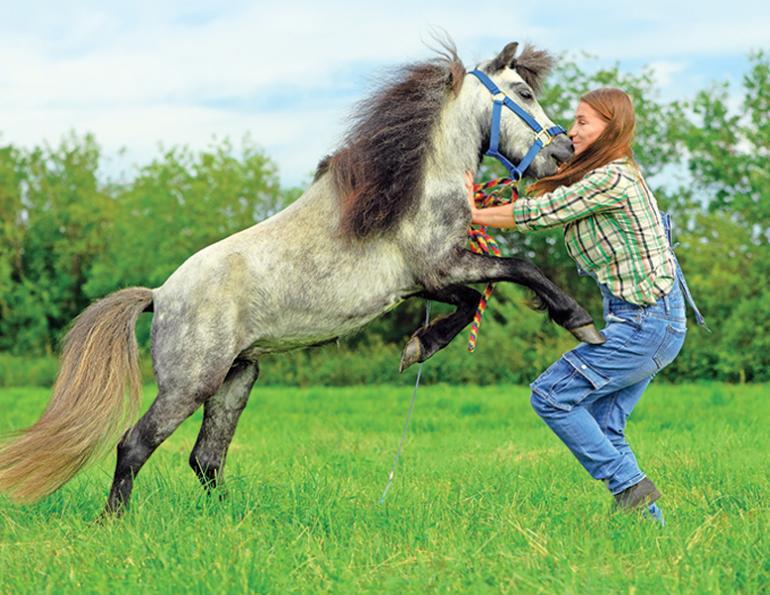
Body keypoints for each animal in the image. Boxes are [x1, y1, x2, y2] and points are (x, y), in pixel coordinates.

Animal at [0, 40, 603, 514]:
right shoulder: (441, 265)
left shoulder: (428, 280)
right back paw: (116, 522)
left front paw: (418, 346)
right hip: (190, 384)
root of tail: (161, 295)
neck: (416, 186)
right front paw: (579, 321)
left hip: (237, 378)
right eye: (522, 93)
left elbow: (469, 303)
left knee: (206, 457)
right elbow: (517, 272)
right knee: (135, 445)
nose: (562, 151)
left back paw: (231, 519)